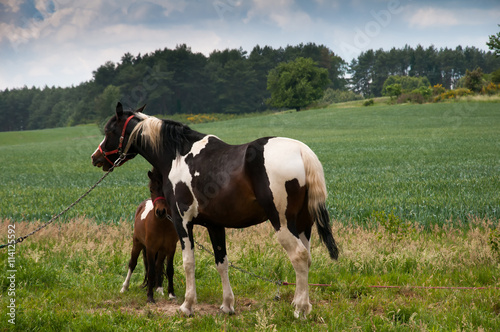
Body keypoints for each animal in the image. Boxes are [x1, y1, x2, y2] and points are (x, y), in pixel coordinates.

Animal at [120, 167, 179, 302]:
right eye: (151, 189)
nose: (160, 212)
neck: (162, 224)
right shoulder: (151, 248)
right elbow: (150, 271)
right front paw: (150, 297)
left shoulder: (171, 248)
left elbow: (169, 269)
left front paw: (171, 294)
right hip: (137, 244)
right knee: (132, 263)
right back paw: (124, 287)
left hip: (161, 250)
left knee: (158, 265)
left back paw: (159, 289)